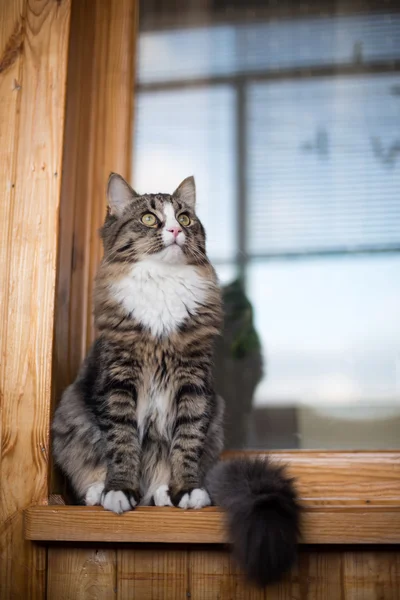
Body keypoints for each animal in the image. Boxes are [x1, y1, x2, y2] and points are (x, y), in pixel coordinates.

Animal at [51, 175, 298, 584]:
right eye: (150, 218)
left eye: (184, 217)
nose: (175, 230)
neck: (162, 286)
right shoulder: (119, 380)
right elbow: (121, 443)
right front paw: (119, 491)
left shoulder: (192, 384)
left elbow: (185, 443)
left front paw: (185, 491)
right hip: (72, 415)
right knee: (92, 466)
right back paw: (100, 492)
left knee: (160, 477)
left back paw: (163, 492)